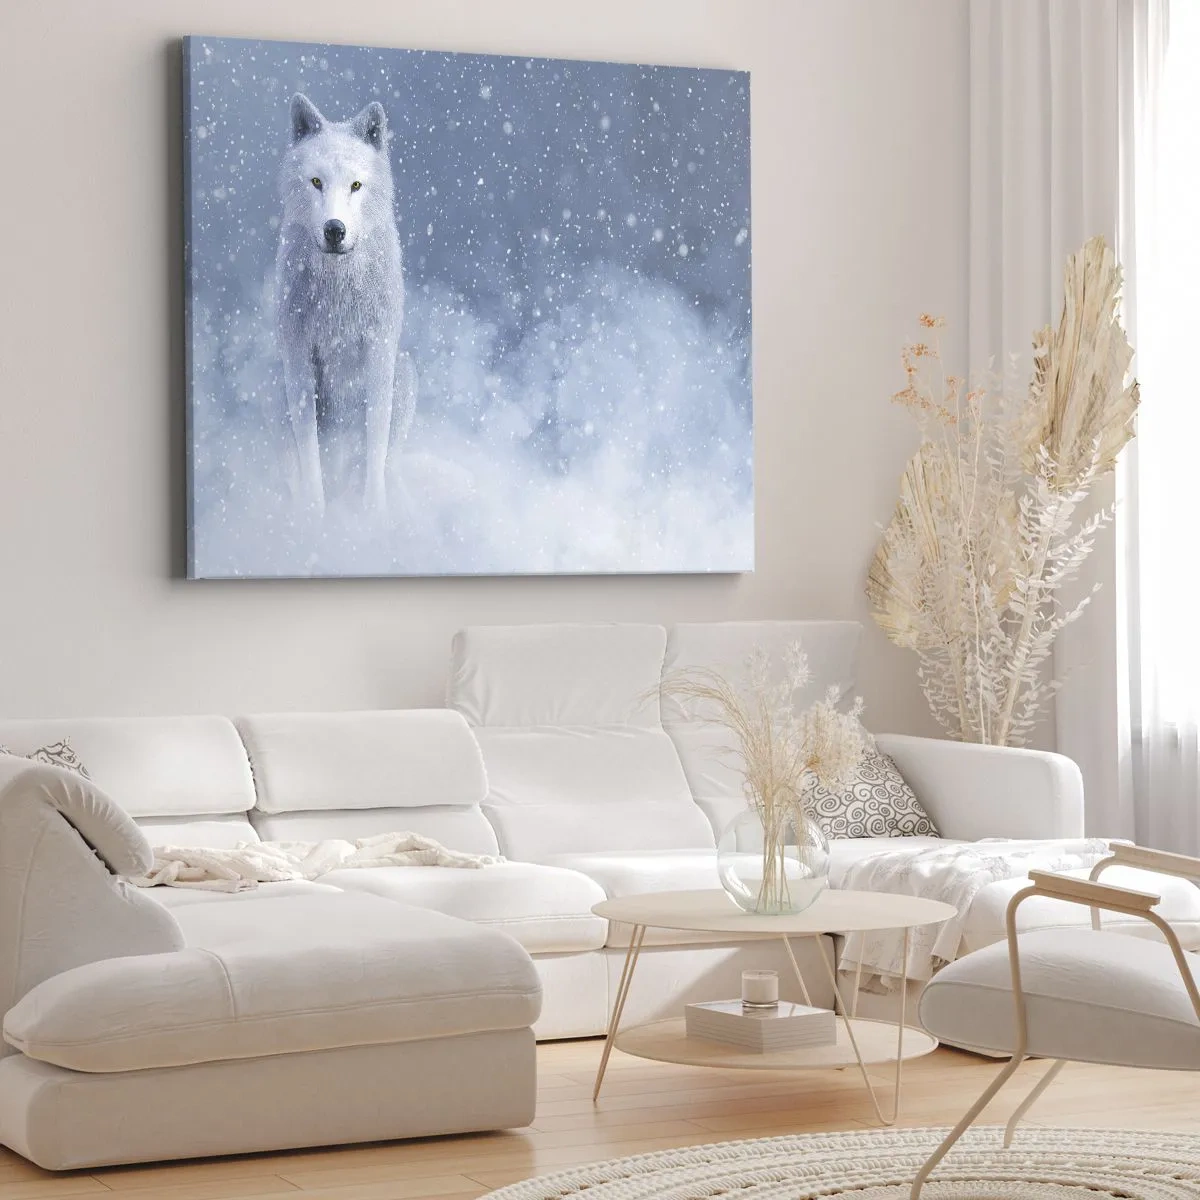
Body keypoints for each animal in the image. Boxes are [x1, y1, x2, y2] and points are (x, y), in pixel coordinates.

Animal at [276, 93, 415, 515]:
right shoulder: (298, 355)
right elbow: (308, 450)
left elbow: (375, 441)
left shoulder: (379, 351)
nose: (334, 230)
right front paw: (314, 516)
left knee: (388, 458)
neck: (336, 293)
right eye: (316, 182)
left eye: (355, 185)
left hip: (405, 372)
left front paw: (373, 514)